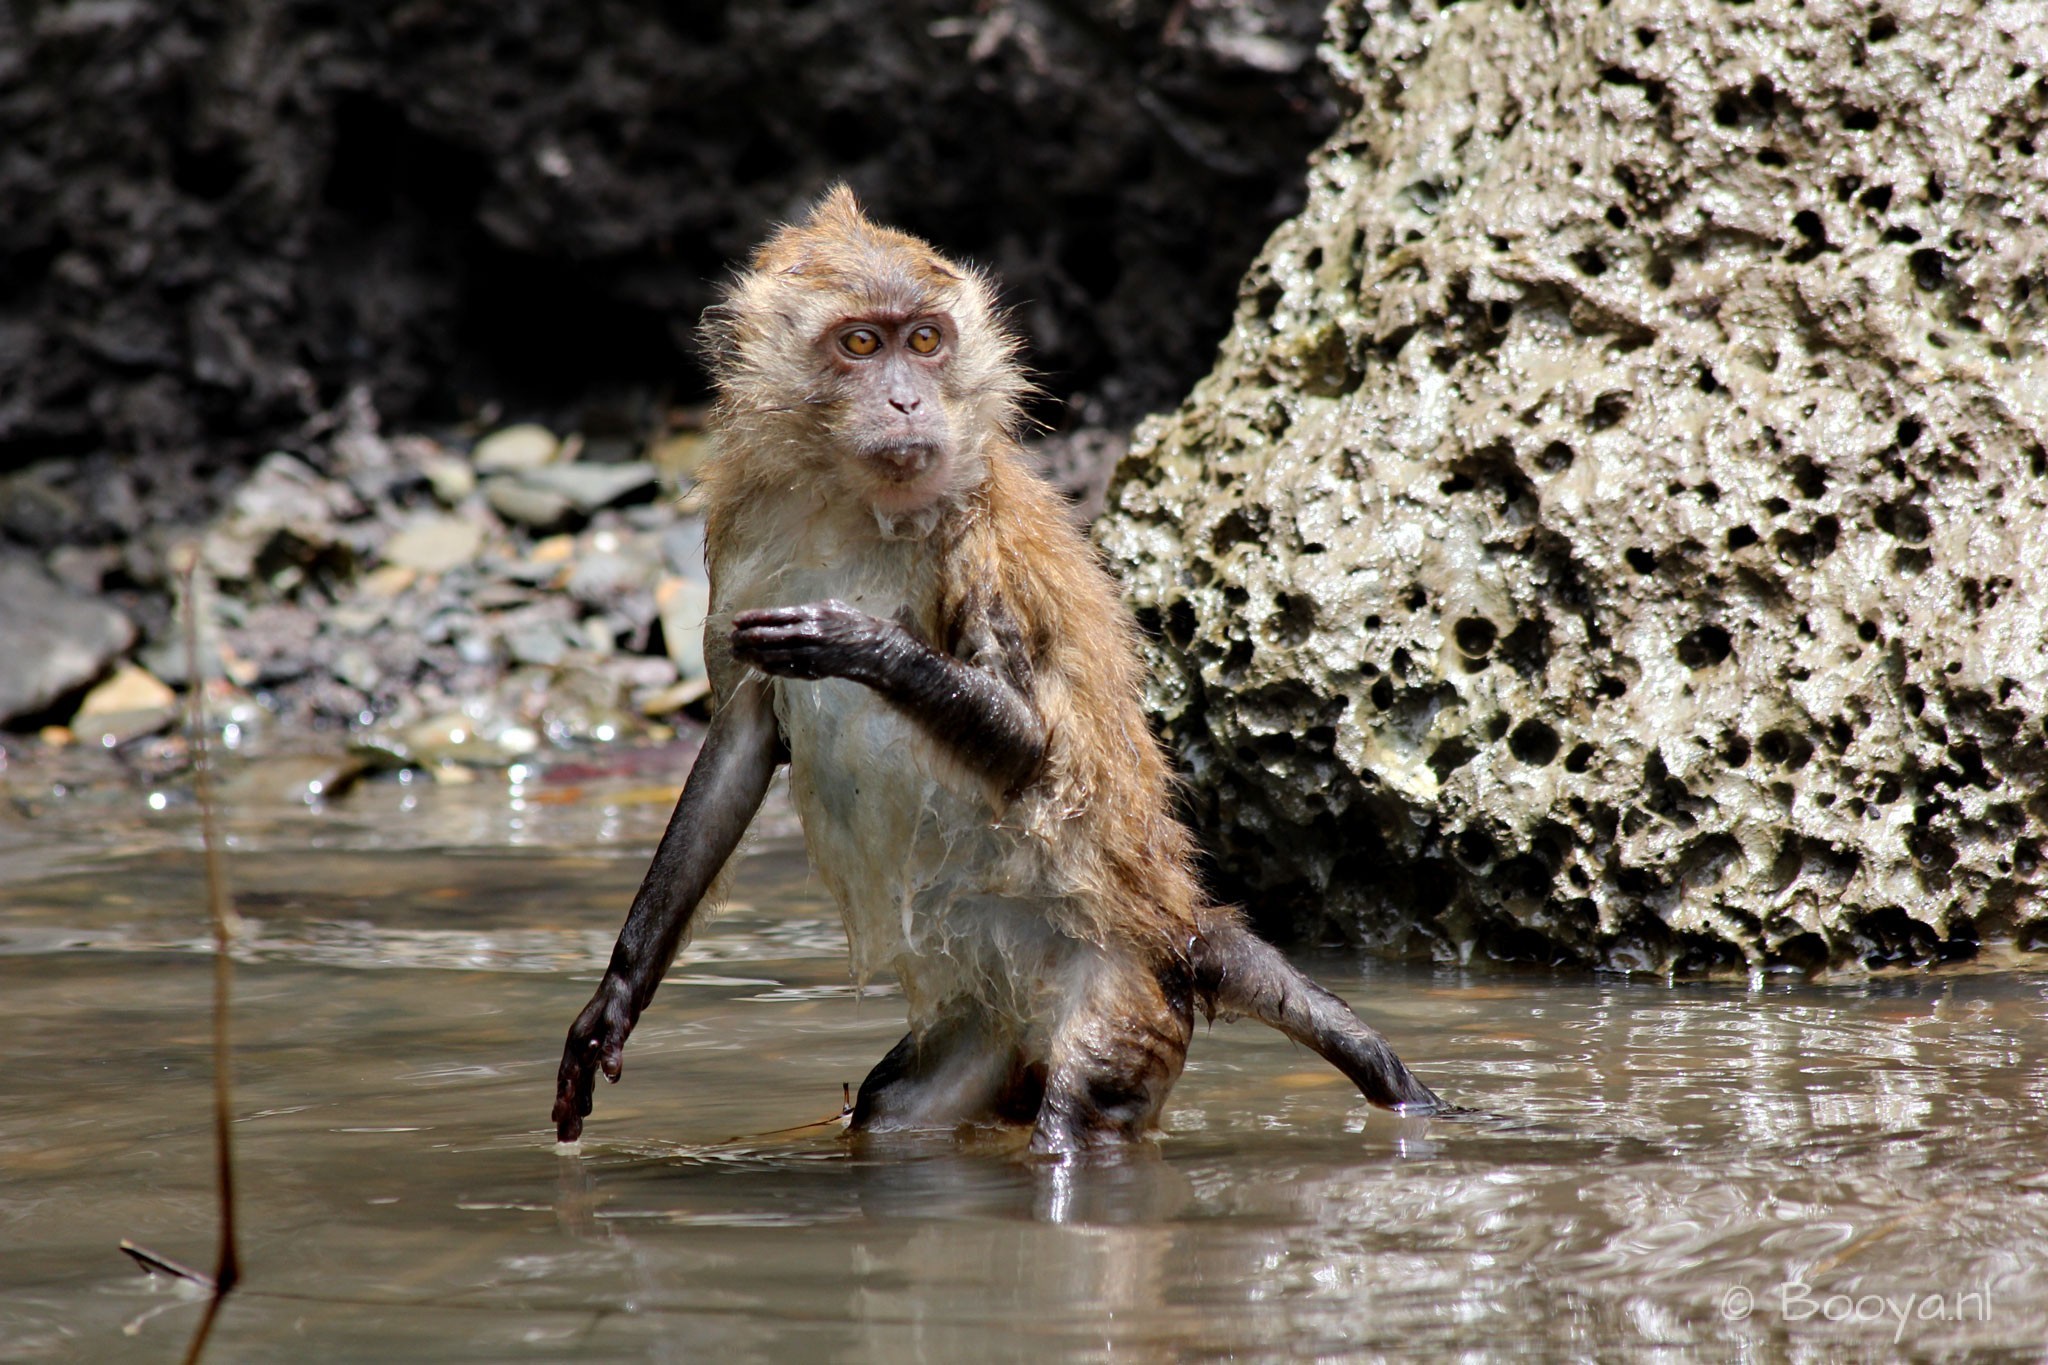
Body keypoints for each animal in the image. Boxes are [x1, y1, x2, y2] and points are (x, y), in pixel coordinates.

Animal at [552, 187, 1443, 1155]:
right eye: (860, 344)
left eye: (924, 340)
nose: (908, 400)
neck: (858, 508)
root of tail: (1179, 931)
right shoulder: (745, 539)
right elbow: (740, 745)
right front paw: (615, 996)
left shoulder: (982, 550)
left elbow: (1033, 748)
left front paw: (859, 644)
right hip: (985, 1024)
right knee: (896, 1110)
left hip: (1124, 991)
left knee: (1080, 1117)